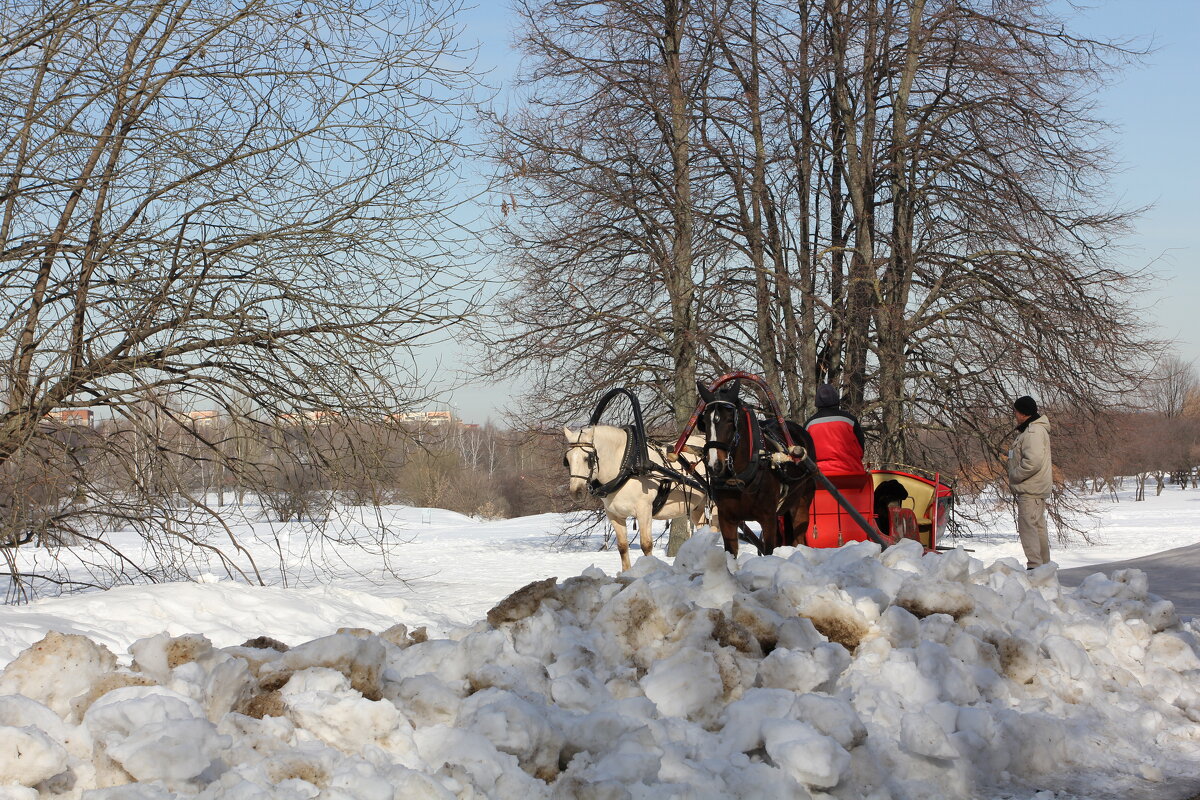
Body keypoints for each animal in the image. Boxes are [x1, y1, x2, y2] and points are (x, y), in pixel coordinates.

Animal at [561, 424, 710, 568]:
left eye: (588, 459)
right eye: (567, 460)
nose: (576, 492)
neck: (627, 467)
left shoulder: (644, 510)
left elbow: (646, 545)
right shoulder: (614, 515)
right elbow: (622, 547)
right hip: (698, 508)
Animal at [700, 379, 820, 554]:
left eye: (730, 420)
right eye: (704, 422)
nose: (715, 465)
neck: (741, 479)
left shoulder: (768, 517)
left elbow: (769, 550)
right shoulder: (726, 519)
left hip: (802, 503)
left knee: (798, 540)